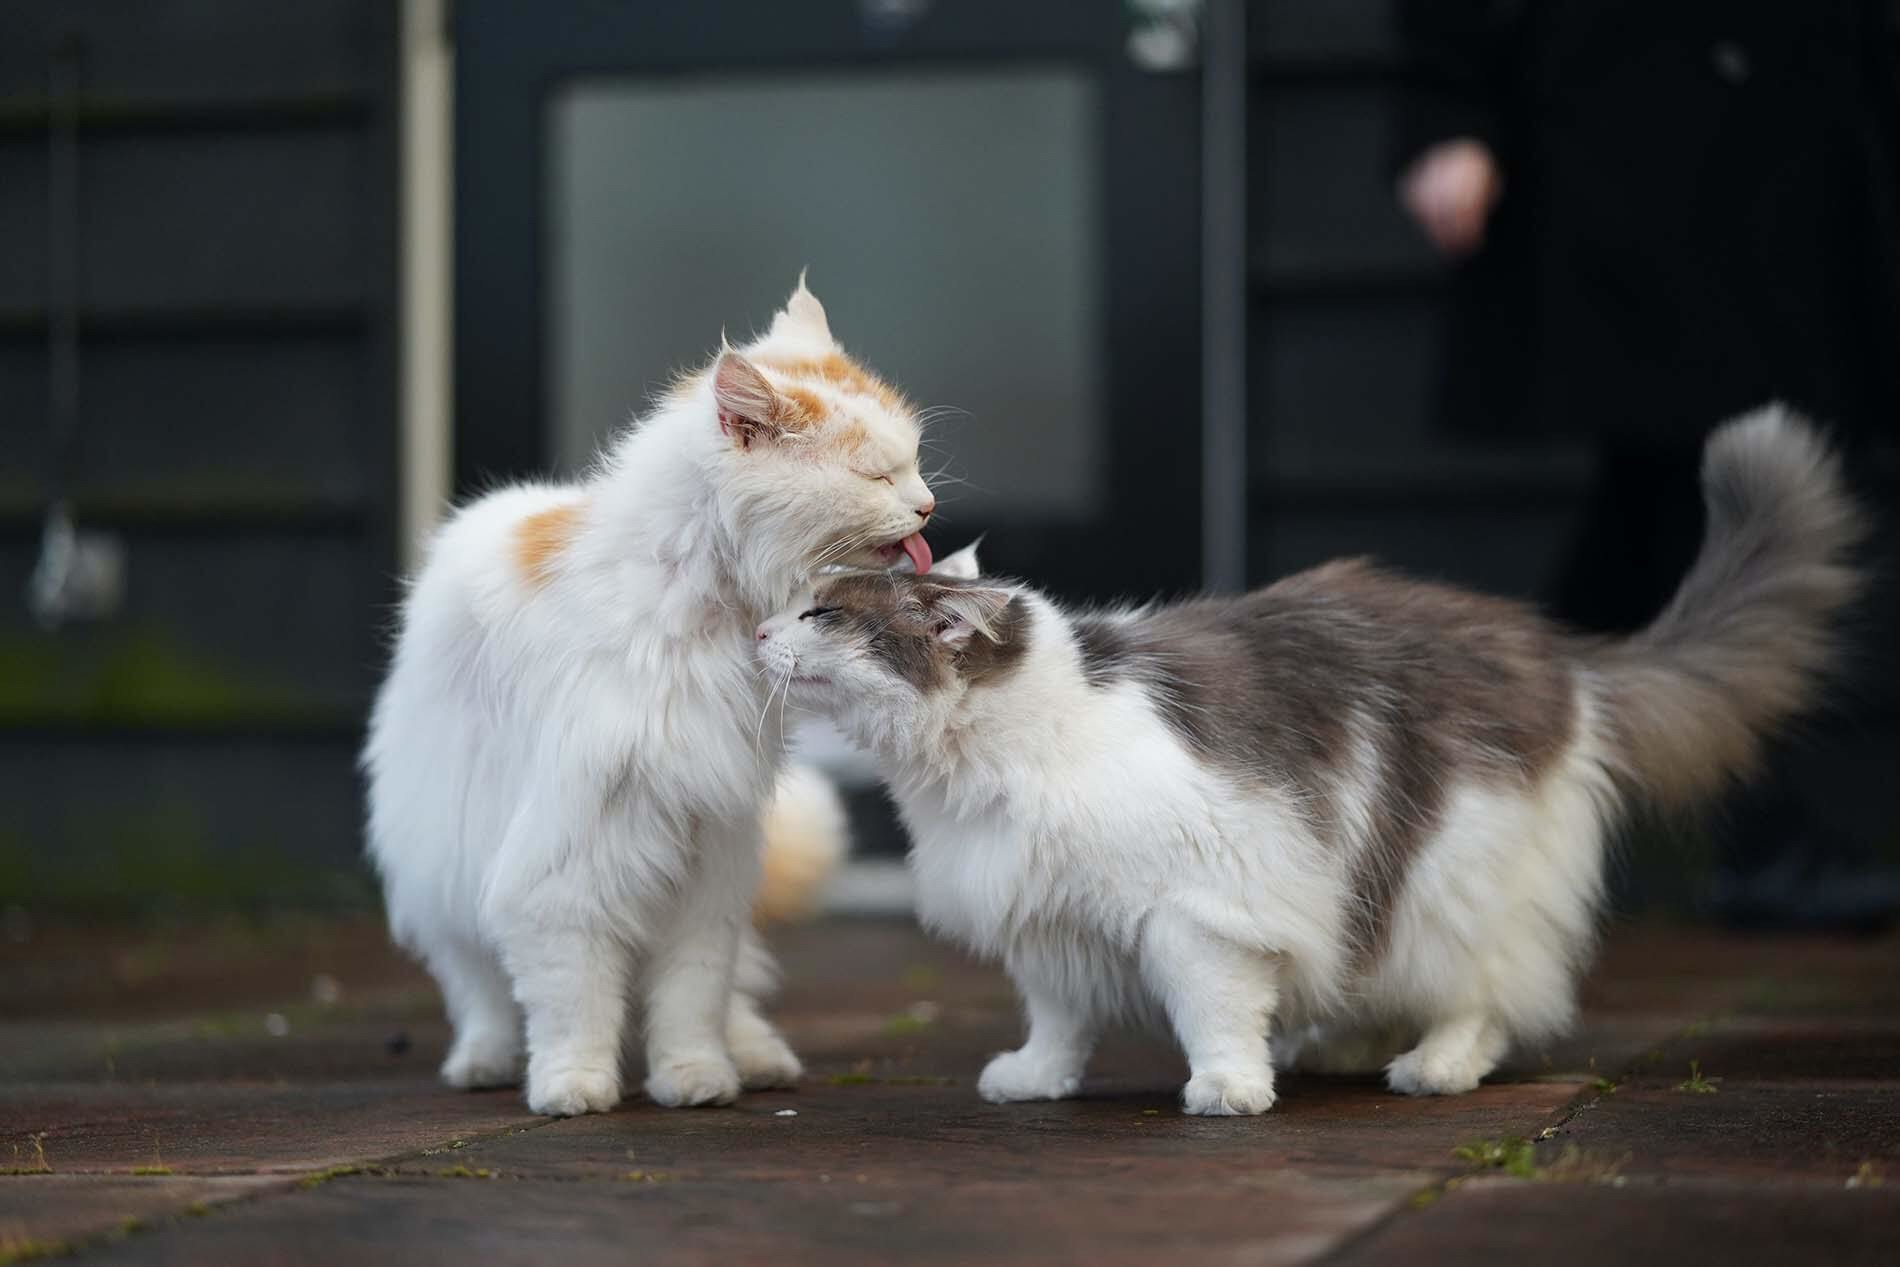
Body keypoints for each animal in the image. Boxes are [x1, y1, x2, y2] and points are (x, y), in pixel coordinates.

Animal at [362, 283, 934, 1116]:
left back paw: (756, 1056)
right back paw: (485, 1061)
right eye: (877, 477)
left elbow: (691, 997)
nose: (928, 506)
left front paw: (695, 1078)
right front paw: (572, 1085)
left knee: (734, 994)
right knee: (481, 989)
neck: (702, 605)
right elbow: (573, 1000)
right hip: (451, 859)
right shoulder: (561, 862)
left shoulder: (705, 863)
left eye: (913, 462)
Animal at [752, 412, 1854, 1116]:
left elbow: (1213, 1011)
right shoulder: (1049, 917)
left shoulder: (1198, 908)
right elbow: (1059, 1019)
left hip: (1450, 878)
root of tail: (1558, 653)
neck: (995, 757)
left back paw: (1430, 1066)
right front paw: (1035, 1078)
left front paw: (1229, 1089)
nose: (756, 632)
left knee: (1486, 995)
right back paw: (1340, 1044)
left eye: (820, 613)